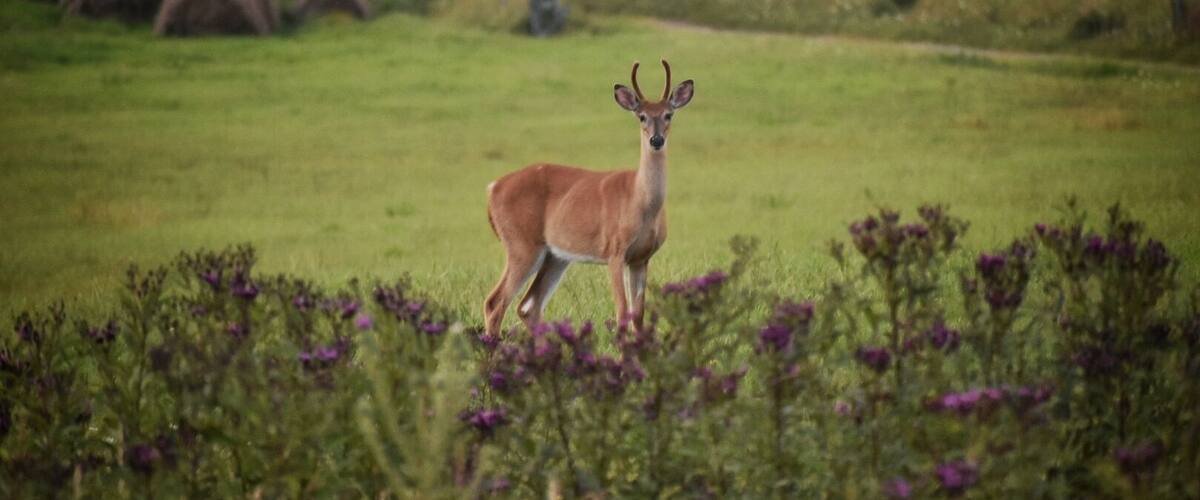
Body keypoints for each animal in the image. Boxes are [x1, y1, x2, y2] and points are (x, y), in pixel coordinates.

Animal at [483, 60, 694, 336]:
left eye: (669, 114)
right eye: (642, 116)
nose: (656, 139)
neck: (641, 201)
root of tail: (493, 188)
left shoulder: (641, 258)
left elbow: (638, 315)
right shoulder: (615, 250)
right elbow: (622, 312)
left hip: (555, 256)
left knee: (528, 306)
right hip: (521, 244)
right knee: (495, 303)